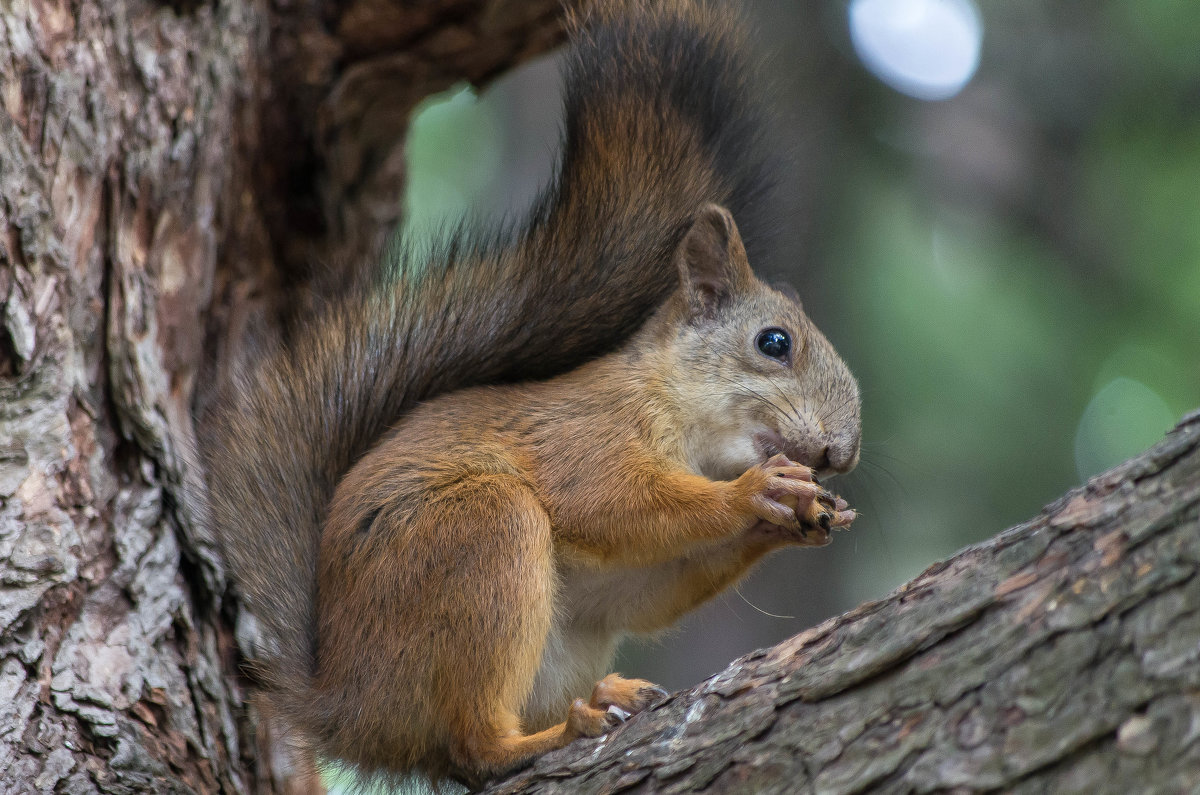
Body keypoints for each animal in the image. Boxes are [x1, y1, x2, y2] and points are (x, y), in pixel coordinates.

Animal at [204, 0, 864, 787]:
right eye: (774, 343)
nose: (842, 452)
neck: (676, 408)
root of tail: (348, 707)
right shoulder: (589, 436)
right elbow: (615, 503)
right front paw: (754, 493)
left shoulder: (622, 583)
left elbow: (649, 590)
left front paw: (797, 515)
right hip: (479, 535)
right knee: (474, 747)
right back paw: (550, 736)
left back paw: (605, 697)